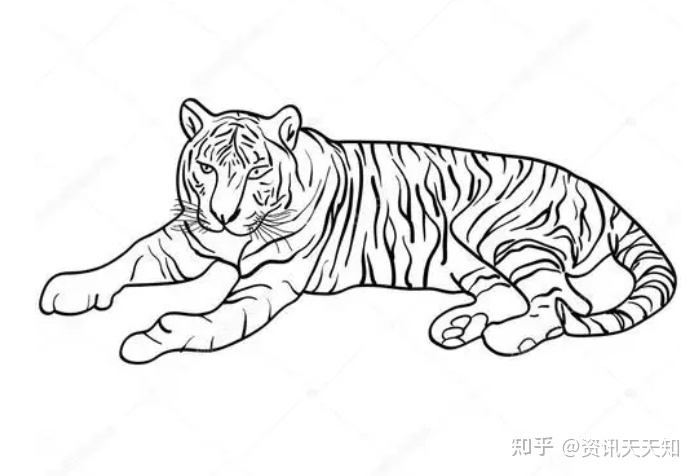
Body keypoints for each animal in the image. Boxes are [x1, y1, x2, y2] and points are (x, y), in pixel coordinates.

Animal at [39, 99, 677, 364]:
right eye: (207, 167)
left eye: (255, 169)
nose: (221, 214)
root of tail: (594, 187)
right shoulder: (184, 238)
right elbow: (128, 257)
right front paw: (71, 286)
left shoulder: (270, 278)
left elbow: (217, 318)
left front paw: (156, 336)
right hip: (467, 260)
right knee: (514, 295)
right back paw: (458, 326)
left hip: (502, 232)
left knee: (562, 300)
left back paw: (509, 337)